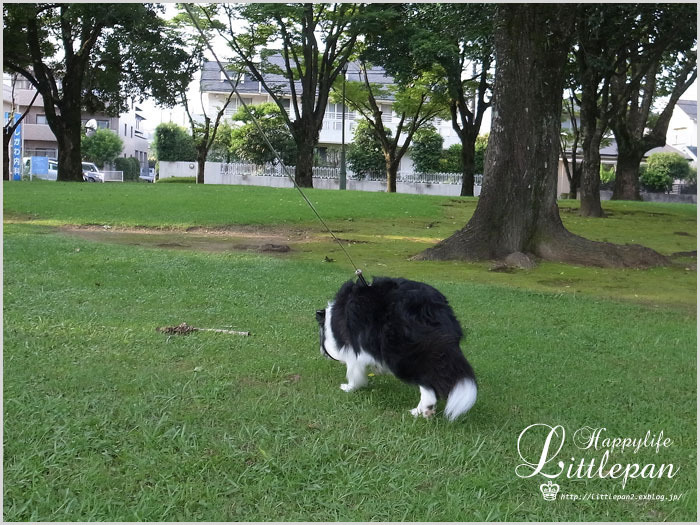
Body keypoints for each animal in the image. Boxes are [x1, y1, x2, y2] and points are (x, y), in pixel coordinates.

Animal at [316, 276, 476, 420]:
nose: (322, 352)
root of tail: (431, 307)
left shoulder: (353, 348)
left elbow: (353, 371)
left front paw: (349, 387)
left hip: (402, 354)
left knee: (426, 383)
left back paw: (421, 411)